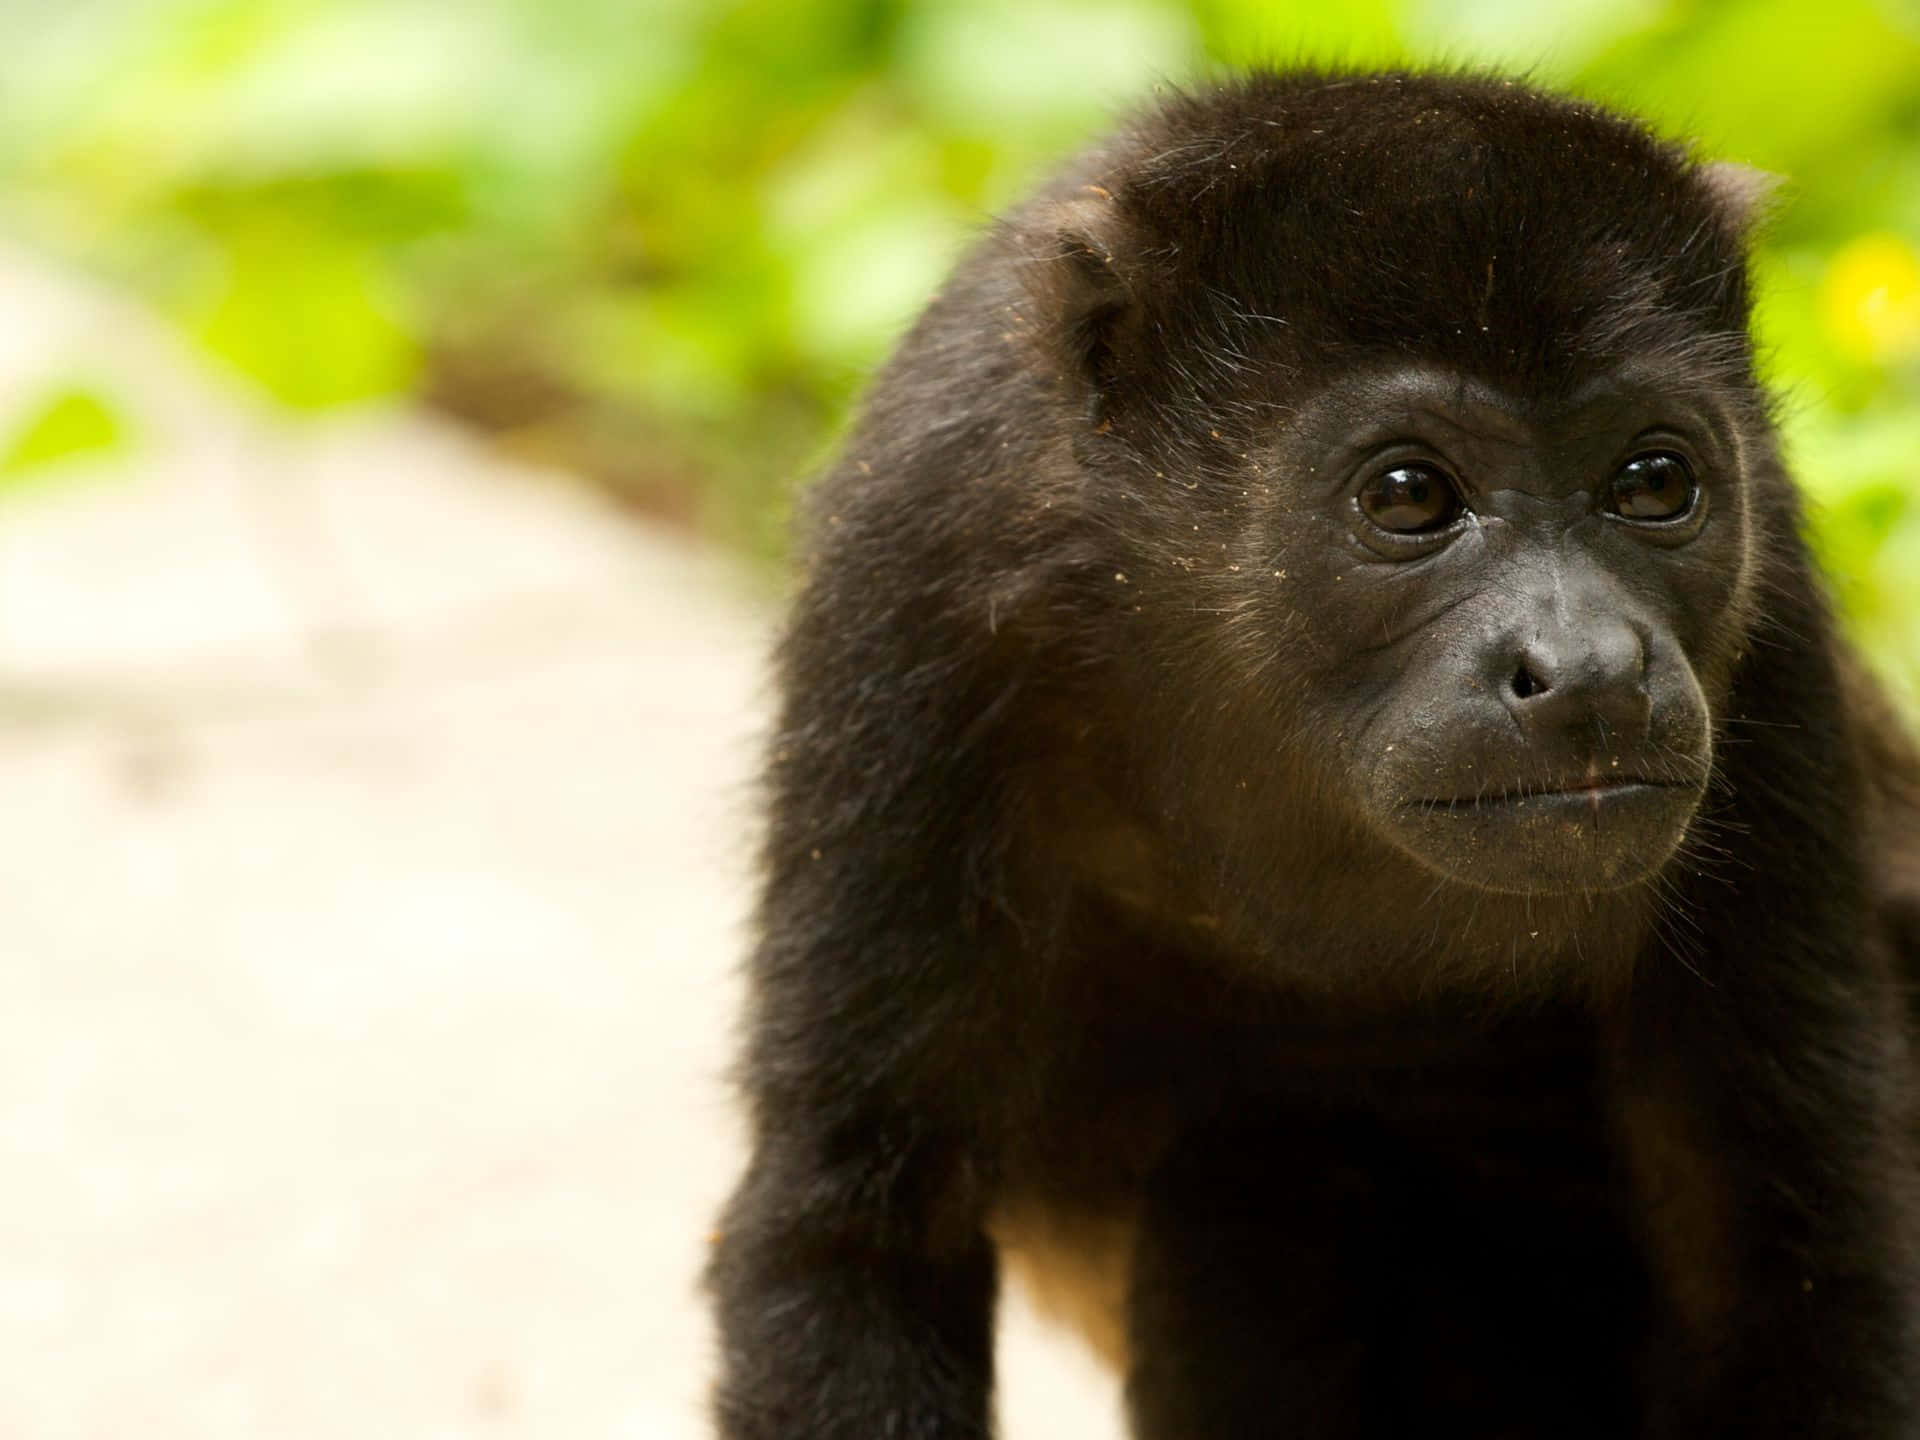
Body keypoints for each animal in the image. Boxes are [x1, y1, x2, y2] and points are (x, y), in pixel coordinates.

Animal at [705, 69, 1920, 1438]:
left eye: (1656, 480)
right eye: (1407, 497)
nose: (1594, 667)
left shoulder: (1778, 626)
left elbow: (1792, 1255)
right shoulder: (915, 576)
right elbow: (858, 1226)